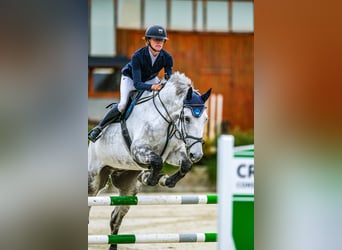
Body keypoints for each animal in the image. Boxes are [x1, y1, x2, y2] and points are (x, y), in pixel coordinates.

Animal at [87, 71, 211, 249]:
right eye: (187, 118)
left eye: (205, 119)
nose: (197, 155)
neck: (167, 120)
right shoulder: (138, 150)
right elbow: (157, 161)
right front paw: (152, 179)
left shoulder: (173, 153)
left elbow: (185, 165)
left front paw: (165, 180)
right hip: (93, 180)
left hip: (128, 187)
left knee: (115, 217)